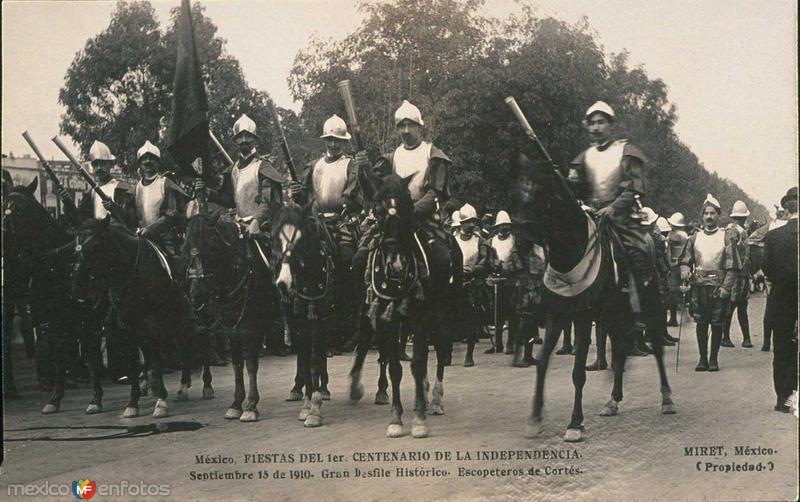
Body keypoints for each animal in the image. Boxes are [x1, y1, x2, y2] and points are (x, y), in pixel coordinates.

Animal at [1, 178, 106, 414]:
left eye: (19, 210)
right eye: (4, 208)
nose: (4, 240)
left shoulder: (87, 320)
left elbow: (92, 357)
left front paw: (95, 399)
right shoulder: (53, 320)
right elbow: (59, 357)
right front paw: (55, 398)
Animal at [184, 208, 276, 424]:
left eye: (210, 245)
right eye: (185, 247)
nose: (196, 294)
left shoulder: (250, 328)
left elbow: (250, 364)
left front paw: (251, 406)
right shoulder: (231, 329)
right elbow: (236, 364)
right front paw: (235, 405)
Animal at [268, 204, 332, 428]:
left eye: (300, 239)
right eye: (273, 238)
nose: (282, 283)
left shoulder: (318, 319)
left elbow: (313, 361)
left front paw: (315, 409)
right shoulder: (297, 323)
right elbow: (304, 361)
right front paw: (306, 405)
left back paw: (323, 388)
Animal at [520, 151, 676, 442]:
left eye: (543, 196)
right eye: (519, 193)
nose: (520, 242)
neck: (570, 254)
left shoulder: (583, 317)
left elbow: (578, 372)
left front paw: (574, 424)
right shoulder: (557, 314)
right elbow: (542, 362)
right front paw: (535, 418)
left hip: (649, 307)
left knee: (657, 349)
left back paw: (667, 399)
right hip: (615, 314)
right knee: (620, 351)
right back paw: (613, 400)